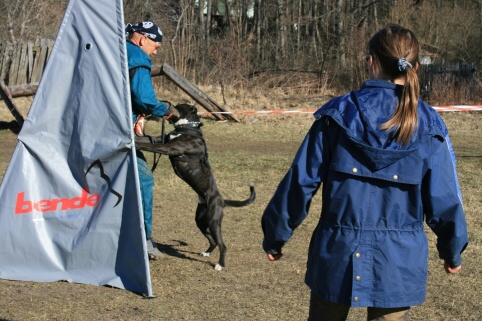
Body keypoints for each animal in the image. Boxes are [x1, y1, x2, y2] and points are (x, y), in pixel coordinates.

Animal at [136, 104, 256, 268]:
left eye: (179, 105)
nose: (166, 105)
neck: (187, 127)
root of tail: (221, 200)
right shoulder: (159, 139)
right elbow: (146, 139)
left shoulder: (169, 148)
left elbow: (146, 144)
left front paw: (133, 143)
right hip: (200, 221)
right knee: (212, 240)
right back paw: (206, 253)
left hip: (213, 221)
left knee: (222, 245)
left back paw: (220, 265)